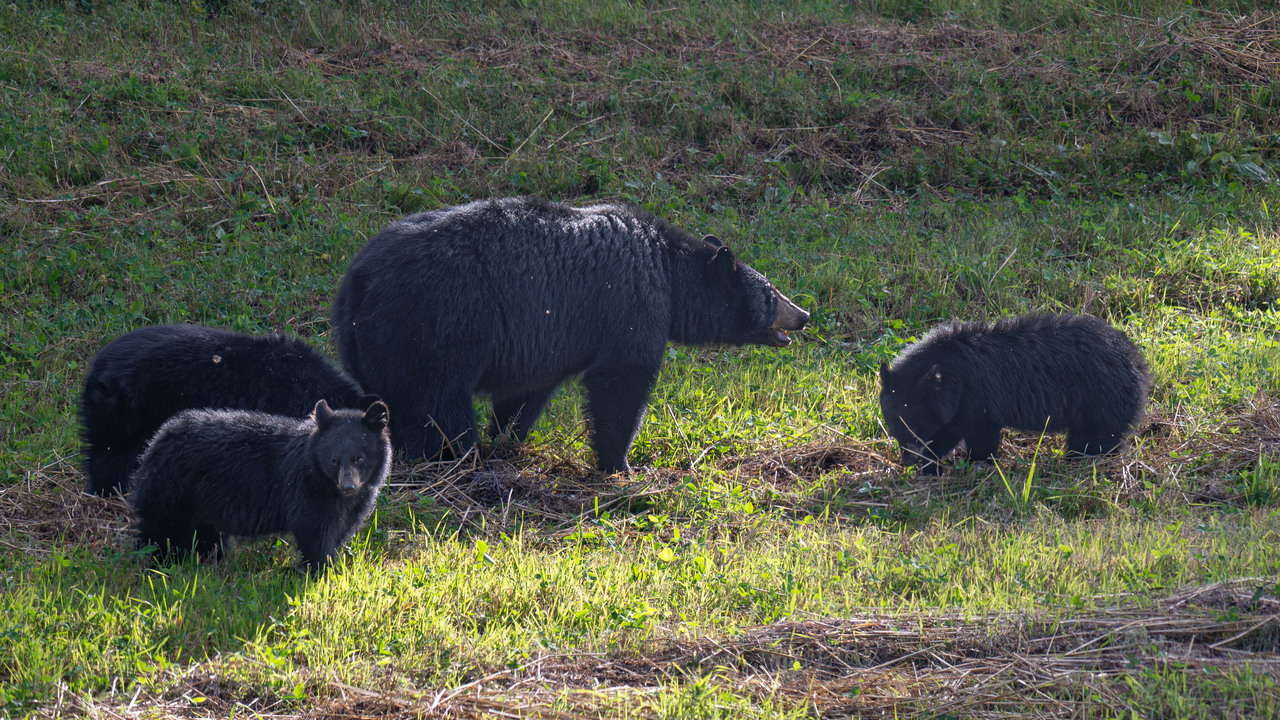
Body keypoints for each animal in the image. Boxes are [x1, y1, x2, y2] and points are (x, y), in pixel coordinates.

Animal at [129, 399, 391, 573]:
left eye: (359, 458)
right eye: (334, 461)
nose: (348, 486)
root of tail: (155, 444)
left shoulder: (355, 503)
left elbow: (340, 530)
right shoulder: (306, 491)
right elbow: (313, 531)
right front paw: (322, 572)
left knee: (205, 536)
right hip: (173, 490)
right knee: (161, 532)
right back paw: (161, 564)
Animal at [331, 196, 809, 474]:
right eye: (771, 293)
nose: (803, 315)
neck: (669, 271)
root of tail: (359, 280)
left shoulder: (543, 338)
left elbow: (526, 392)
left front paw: (508, 437)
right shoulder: (631, 303)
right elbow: (620, 382)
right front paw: (621, 464)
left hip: (371, 343)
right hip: (435, 326)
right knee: (438, 407)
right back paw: (458, 456)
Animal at [878, 313, 1150, 475]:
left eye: (918, 424)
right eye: (893, 425)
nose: (908, 460)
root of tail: (1137, 362)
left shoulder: (972, 398)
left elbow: (963, 433)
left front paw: (933, 463)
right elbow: (982, 435)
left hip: (1101, 398)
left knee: (1096, 440)